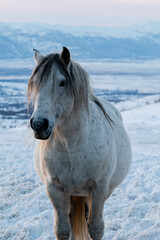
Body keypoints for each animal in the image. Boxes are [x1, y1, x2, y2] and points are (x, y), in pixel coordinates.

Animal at [27, 47, 132, 240]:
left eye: (62, 82)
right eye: (35, 83)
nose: (39, 125)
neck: (72, 147)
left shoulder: (99, 190)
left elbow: (96, 228)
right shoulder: (55, 189)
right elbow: (62, 229)